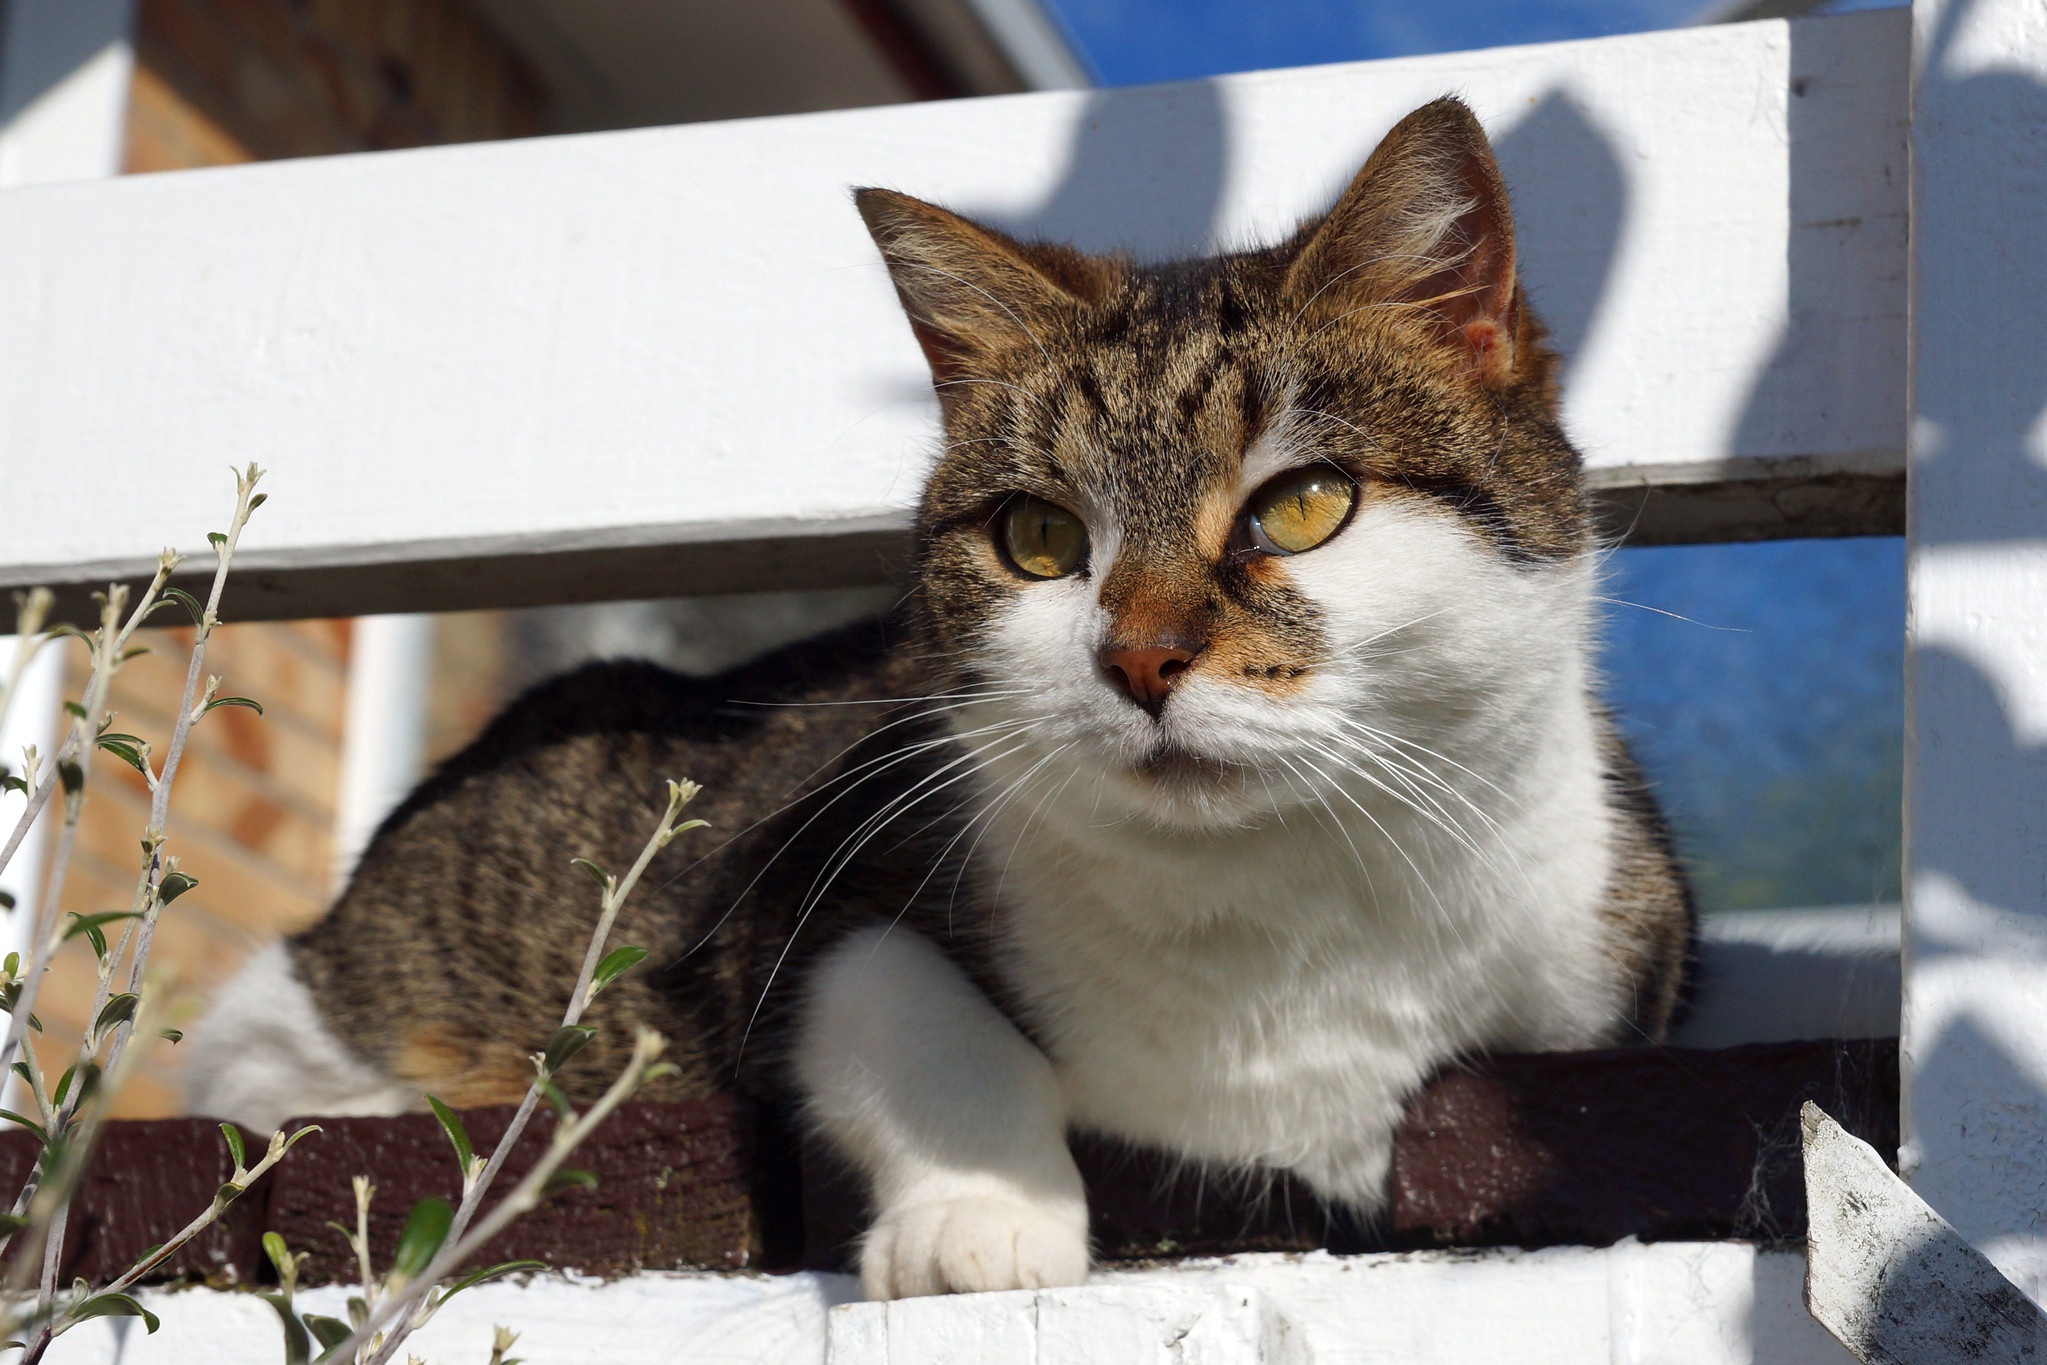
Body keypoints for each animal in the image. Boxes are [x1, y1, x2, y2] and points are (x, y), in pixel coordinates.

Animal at [188, 98, 1694, 1301]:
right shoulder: (802, 869)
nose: (1138, 659)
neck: (1274, 915)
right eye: (1036, 537)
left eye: (1303, 503)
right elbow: (895, 998)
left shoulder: (1619, 955)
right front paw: (981, 1217)